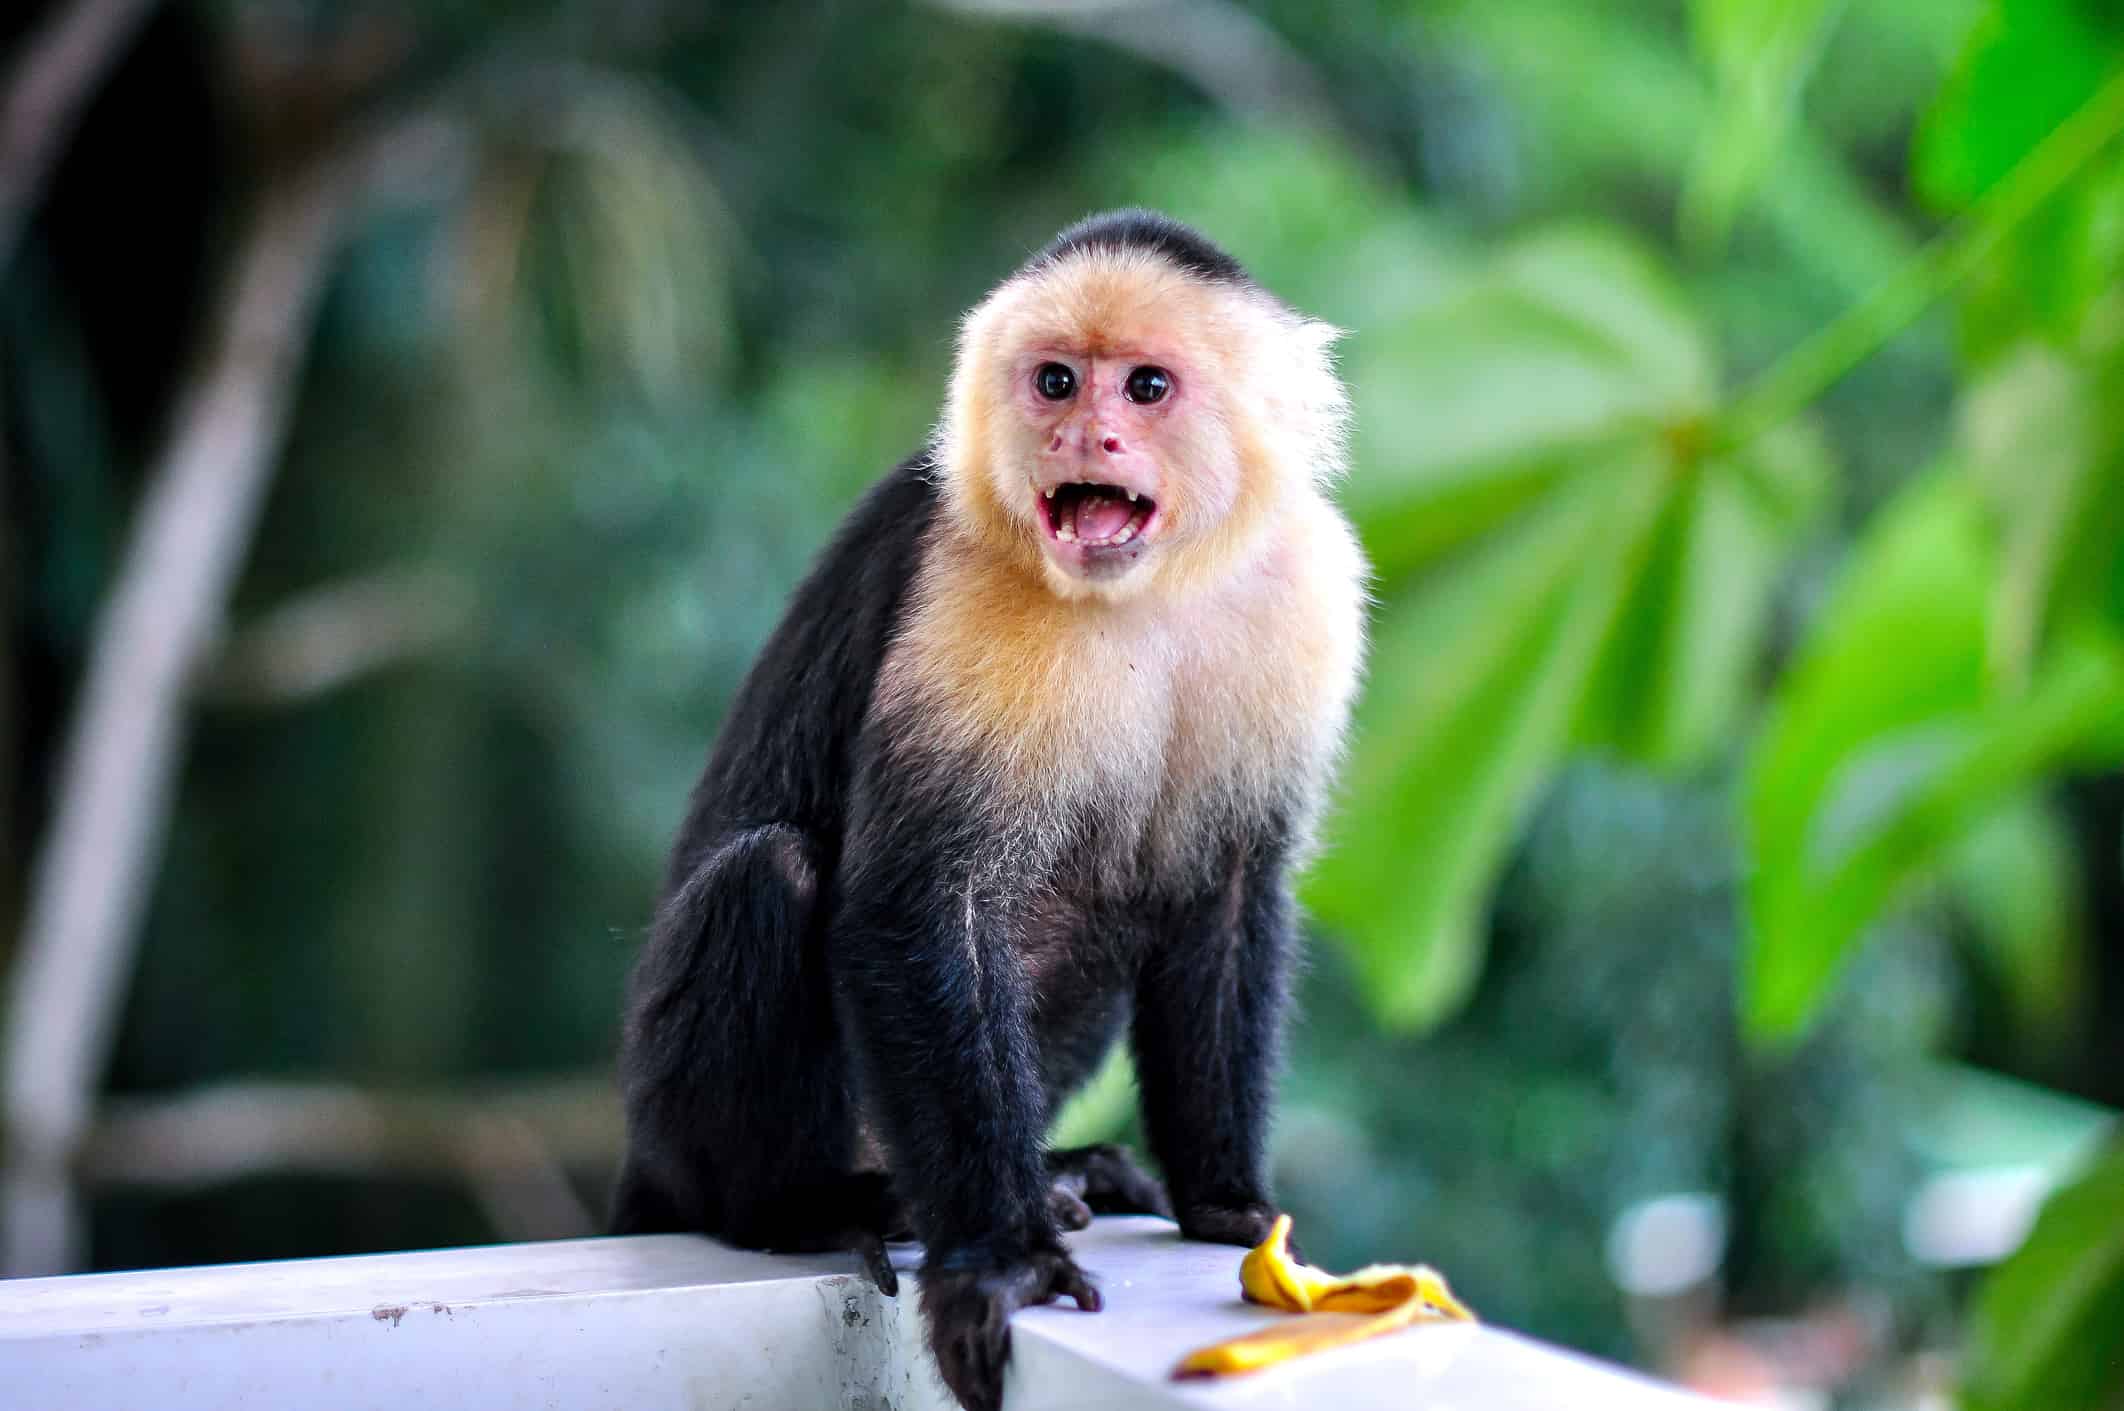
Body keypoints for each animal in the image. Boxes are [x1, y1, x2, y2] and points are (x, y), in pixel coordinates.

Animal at [612, 209, 1367, 1411]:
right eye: (1056, 381)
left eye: (1145, 387)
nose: (1085, 439)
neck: (1150, 585)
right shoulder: (966, 578)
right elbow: (919, 903)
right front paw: (1002, 1261)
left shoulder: (1308, 591)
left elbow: (1229, 893)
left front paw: (1227, 1200)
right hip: (674, 1126)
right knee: (771, 876)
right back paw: (815, 1203)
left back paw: (1060, 1170)